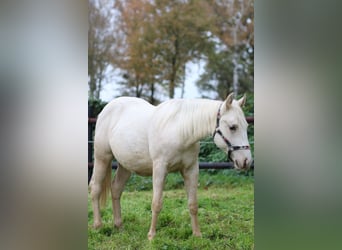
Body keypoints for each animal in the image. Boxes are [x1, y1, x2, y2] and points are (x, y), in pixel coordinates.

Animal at [89, 93, 252, 240]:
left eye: (246, 126)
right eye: (232, 127)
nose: (246, 161)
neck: (181, 131)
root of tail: (107, 108)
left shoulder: (191, 170)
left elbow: (193, 204)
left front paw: (197, 235)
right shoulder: (160, 168)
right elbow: (156, 203)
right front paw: (151, 236)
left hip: (126, 165)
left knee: (116, 189)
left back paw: (119, 226)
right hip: (102, 157)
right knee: (96, 188)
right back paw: (98, 225)